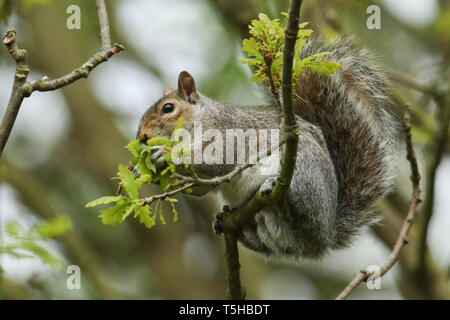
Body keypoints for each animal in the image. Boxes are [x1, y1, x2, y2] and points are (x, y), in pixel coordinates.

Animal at [136, 37, 398, 260]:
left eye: (168, 108)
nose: (142, 137)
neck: (199, 119)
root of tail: (325, 236)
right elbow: (200, 187)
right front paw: (145, 171)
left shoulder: (227, 132)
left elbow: (215, 161)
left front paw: (165, 154)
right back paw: (231, 225)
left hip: (304, 170)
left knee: (300, 211)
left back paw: (276, 190)